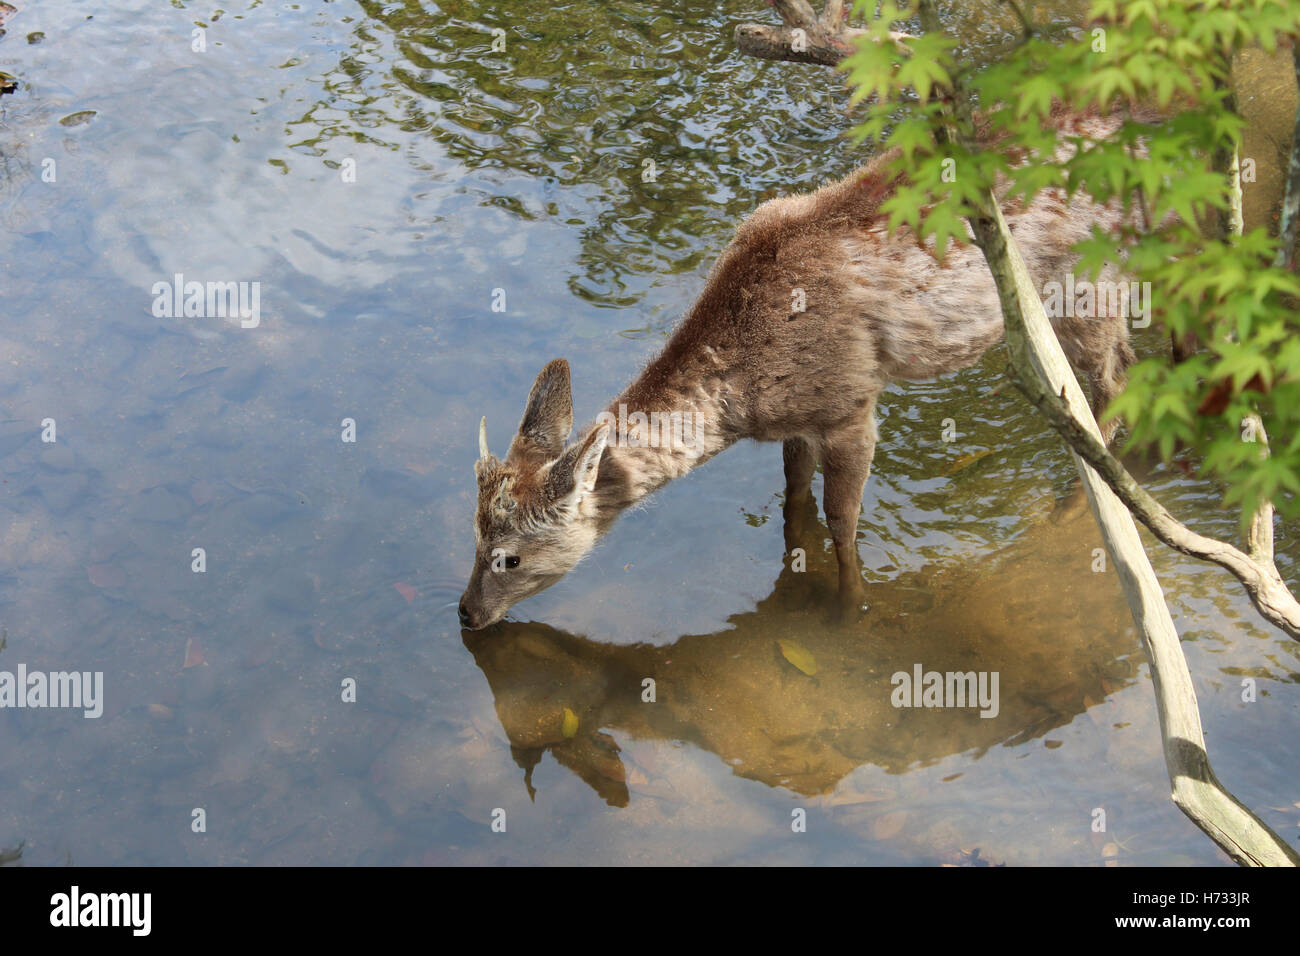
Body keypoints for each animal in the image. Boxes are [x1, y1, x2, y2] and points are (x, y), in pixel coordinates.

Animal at [457, 108, 1138, 632]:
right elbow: (792, 499)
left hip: (1082, 286)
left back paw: (1081, 509)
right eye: (473, 536)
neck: (745, 391)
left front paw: (849, 610)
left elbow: (842, 521)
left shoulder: (851, 403)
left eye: (509, 558)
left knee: (1110, 385)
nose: (464, 612)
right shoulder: (798, 421)